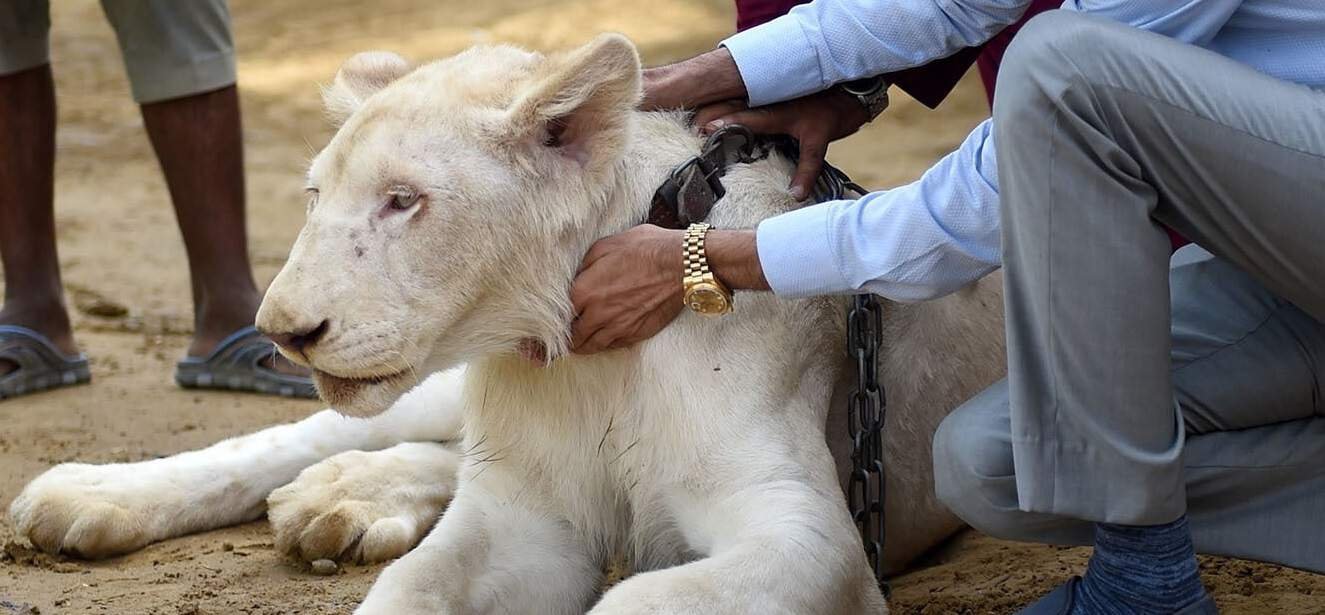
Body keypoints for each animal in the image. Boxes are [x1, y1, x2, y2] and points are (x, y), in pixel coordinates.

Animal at [9, 34, 1005, 614]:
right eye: (315, 196)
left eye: (403, 200)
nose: (284, 329)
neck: (577, 357)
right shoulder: (525, 515)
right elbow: (410, 587)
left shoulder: (810, 541)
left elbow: (635, 603)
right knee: (299, 437)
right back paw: (93, 496)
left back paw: (340, 501)